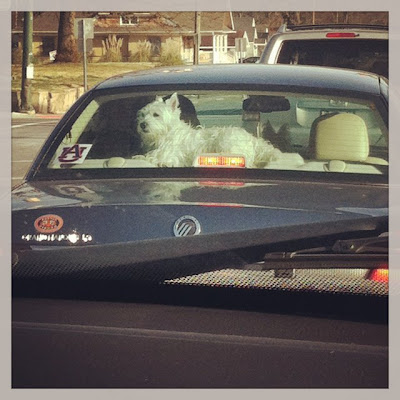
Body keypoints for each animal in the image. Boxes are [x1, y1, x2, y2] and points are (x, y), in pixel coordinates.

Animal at [134, 92, 303, 168]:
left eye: (156, 115)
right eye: (142, 115)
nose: (142, 125)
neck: (166, 134)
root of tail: (254, 140)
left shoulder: (170, 155)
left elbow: (156, 158)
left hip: (226, 143)